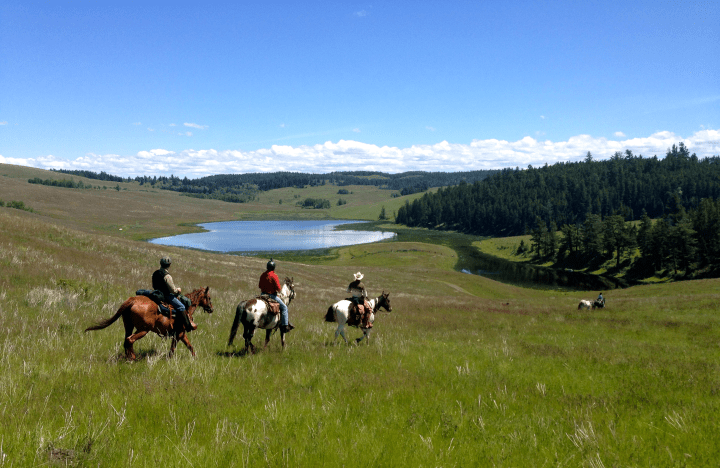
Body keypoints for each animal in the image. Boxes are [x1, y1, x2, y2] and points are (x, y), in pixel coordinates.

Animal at [85, 288, 214, 360]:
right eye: (209, 297)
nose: (211, 309)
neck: (186, 308)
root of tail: (132, 300)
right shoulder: (179, 334)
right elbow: (175, 349)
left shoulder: (179, 335)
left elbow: (189, 346)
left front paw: (195, 359)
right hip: (143, 330)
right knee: (130, 339)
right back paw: (132, 358)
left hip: (128, 326)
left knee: (126, 340)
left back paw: (128, 357)